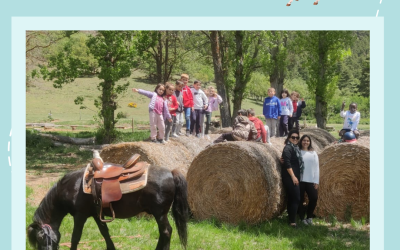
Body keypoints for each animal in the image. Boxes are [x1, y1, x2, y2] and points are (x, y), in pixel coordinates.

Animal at [27, 166, 189, 250]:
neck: (73, 187)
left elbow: (75, 237)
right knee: (163, 232)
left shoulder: (80, 215)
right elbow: (104, 232)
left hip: (159, 213)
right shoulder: (96, 215)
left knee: (166, 231)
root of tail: (171, 173)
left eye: (40, 237)